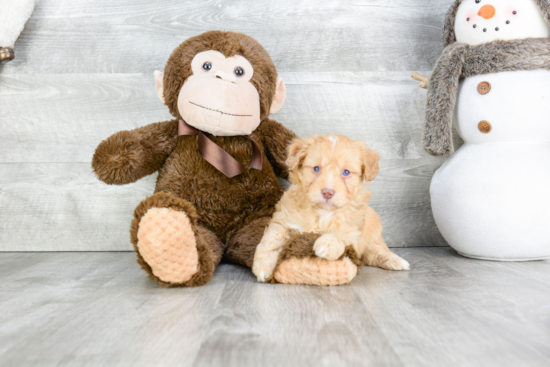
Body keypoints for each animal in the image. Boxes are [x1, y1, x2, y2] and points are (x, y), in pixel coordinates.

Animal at [253, 134, 410, 282]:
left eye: (346, 172)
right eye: (316, 169)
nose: (327, 192)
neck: (323, 212)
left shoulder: (353, 232)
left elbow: (340, 235)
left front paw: (326, 244)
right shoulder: (283, 218)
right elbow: (273, 237)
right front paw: (263, 266)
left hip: (373, 231)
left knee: (376, 251)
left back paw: (395, 261)